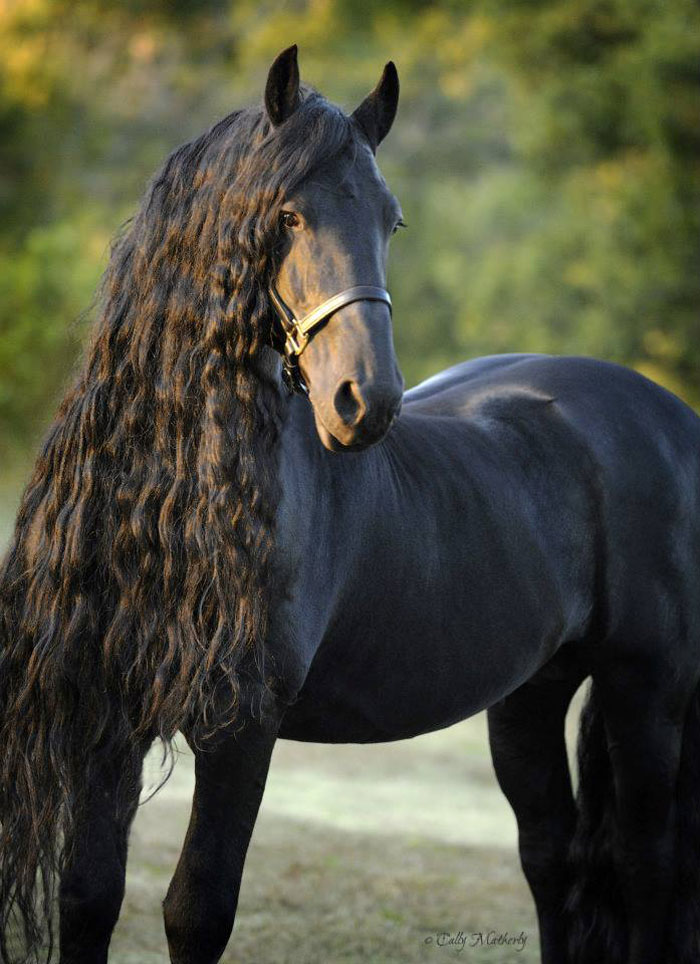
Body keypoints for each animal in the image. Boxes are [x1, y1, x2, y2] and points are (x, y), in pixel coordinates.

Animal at [1, 42, 699, 964]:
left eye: (391, 223)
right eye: (288, 216)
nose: (365, 401)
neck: (174, 504)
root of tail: (671, 416)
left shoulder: (240, 730)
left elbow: (197, 911)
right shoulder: (105, 717)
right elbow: (88, 897)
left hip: (646, 689)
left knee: (651, 867)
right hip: (533, 694)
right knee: (553, 857)